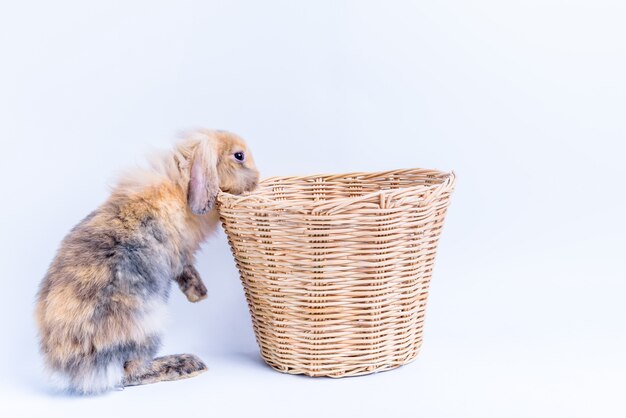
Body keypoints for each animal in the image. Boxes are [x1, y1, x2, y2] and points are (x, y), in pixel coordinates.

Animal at [34, 130, 258, 396]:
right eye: (239, 155)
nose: (257, 181)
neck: (180, 184)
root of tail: (71, 369)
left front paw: (199, 295)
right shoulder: (180, 254)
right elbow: (186, 269)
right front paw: (200, 294)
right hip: (148, 325)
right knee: (129, 372)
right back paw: (187, 364)